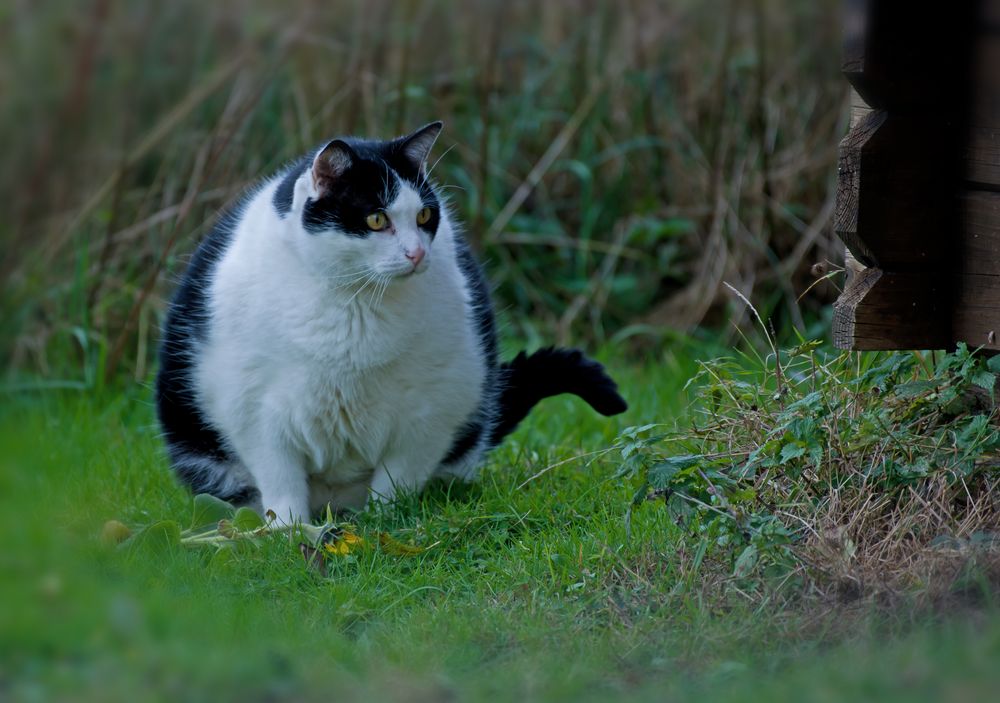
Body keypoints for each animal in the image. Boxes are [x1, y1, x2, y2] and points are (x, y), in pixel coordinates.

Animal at [154, 124, 624, 524]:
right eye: (376, 219)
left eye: (425, 216)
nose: (417, 254)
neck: (357, 305)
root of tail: (334, 501)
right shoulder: (256, 411)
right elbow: (281, 483)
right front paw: (292, 535)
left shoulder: (434, 409)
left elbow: (396, 481)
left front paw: (384, 526)